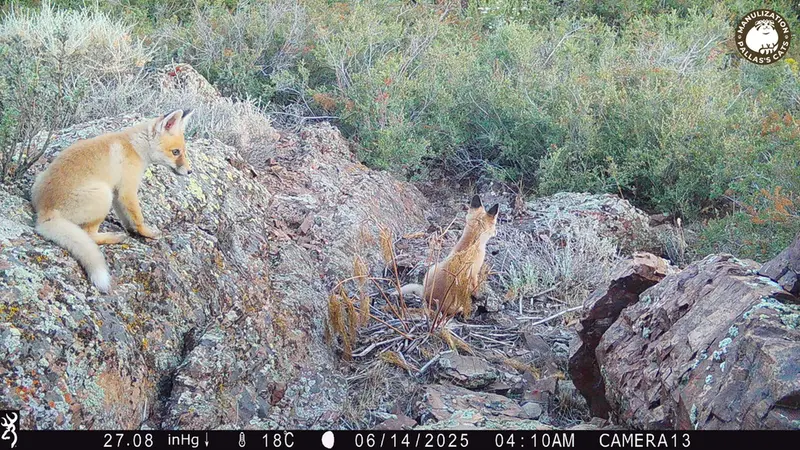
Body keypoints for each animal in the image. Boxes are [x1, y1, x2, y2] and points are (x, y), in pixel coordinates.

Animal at [31, 109, 195, 293]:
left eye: (183, 151)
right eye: (175, 152)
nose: (190, 171)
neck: (133, 146)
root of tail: (45, 213)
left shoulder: (118, 194)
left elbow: (127, 219)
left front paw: (133, 231)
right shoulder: (127, 191)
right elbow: (138, 218)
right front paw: (148, 233)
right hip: (104, 195)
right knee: (89, 235)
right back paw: (115, 237)